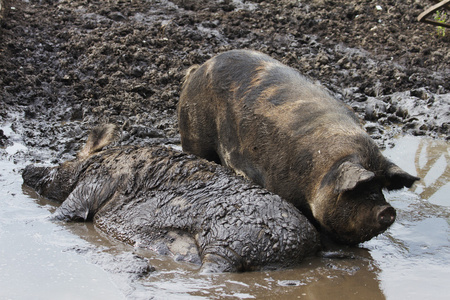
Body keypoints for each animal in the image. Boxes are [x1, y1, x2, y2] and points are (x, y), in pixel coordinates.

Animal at [22, 124, 320, 272]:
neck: (100, 159)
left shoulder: (96, 182)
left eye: (62, 163)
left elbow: (68, 211)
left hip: (229, 238)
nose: (26, 169)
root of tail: (298, 243)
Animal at [178, 49, 418, 246]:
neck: (323, 170)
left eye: (381, 188)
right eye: (361, 188)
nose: (388, 210)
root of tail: (198, 69)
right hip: (194, 134)